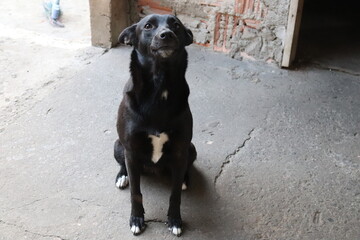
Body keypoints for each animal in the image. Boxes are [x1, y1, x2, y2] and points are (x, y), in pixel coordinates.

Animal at [114, 13, 197, 236]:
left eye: (176, 25)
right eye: (148, 26)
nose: (166, 34)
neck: (160, 86)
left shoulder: (180, 150)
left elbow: (175, 194)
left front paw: (175, 220)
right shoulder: (131, 150)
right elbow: (136, 192)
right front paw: (136, 219)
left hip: (191, 149)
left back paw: (185, 180)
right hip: (118, 146)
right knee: (123, 165)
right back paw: (122, 176)